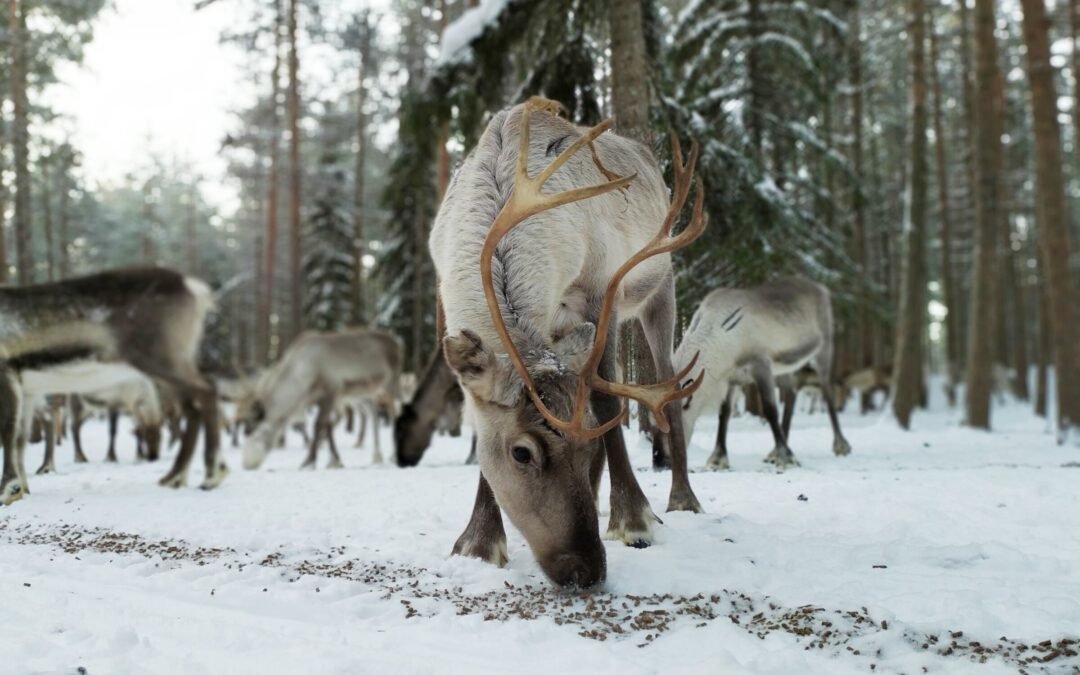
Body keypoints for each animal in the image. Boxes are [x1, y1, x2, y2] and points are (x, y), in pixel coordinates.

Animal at [0, 267, 226, 504]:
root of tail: (193, 286)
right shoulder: (28, 390)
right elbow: (20, 438)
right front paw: (23, 488)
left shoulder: (5, 371)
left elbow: (8, 431)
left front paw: (8, 489)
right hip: (172, 364)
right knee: (195, 405)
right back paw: (176, 476)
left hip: (161, 359)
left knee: (206, 391)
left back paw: (211, 476)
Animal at [240, 328, 403, 470]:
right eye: (245, 430)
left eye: (258, 434)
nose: (247, 464)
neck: (303, 370)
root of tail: (396, 342)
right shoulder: (318, 399)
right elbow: (328, 425)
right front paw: (334, 461)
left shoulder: (331, 392)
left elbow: (318, 425)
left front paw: (309, 462)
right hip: (363, 394)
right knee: (373, 414)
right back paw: (377, 457)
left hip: (389, 385)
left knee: (394, 412)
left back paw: (394, 456)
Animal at [431, 97, 706, 588]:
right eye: (521, 453)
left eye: (589, 450)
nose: (587, 568)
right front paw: (479, 542)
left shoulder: (600, 293)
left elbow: (607, 402)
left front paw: (633, 518)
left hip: (661, 289)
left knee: (669, 388)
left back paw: (682, 499)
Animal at [673, 276, 852, 471]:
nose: (663, 459)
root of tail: (821, 287)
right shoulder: (732, 378)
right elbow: (724, 413)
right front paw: (718, 458)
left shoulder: (761, 364)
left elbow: (770, 409)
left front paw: (786, 456)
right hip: (784, 366)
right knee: (791, 394)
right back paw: (775, 448)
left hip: (824, 346)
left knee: (826, 390)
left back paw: (841, 445)